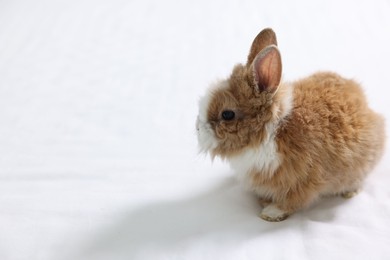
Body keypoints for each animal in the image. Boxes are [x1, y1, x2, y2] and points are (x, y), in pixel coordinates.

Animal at [197, 27, 386, 221]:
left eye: (227, 114)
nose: (198, 129)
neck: (271, 131)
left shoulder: (303, 180)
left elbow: (292, 201)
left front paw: (270, 212)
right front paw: (263, 201)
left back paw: (349, 192)